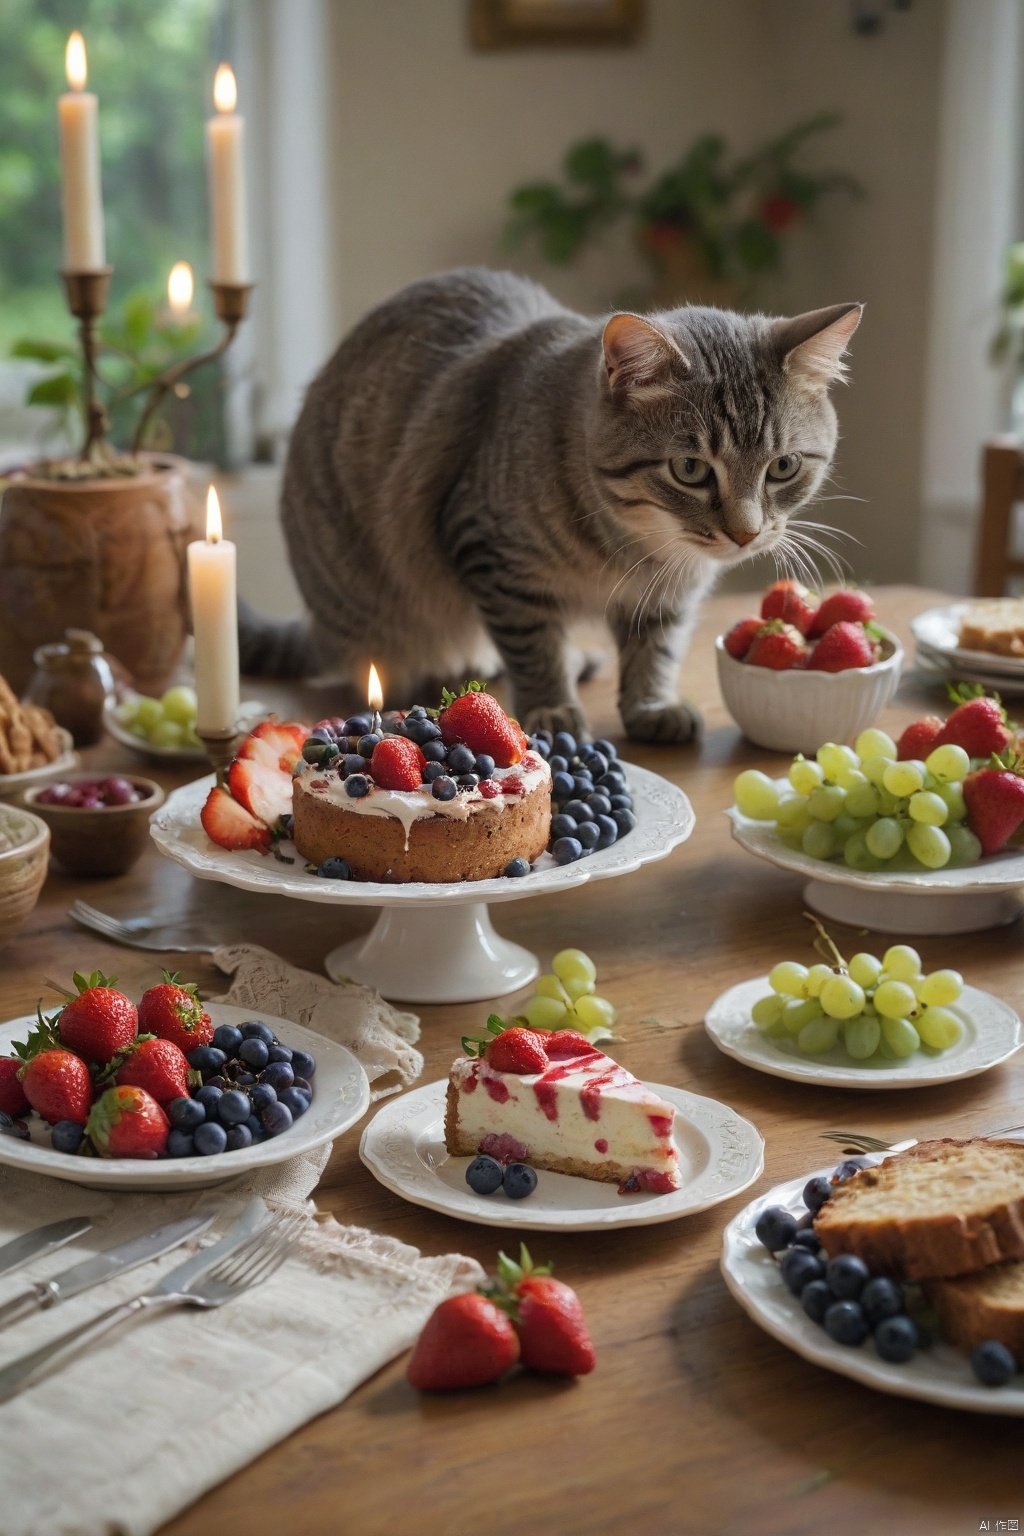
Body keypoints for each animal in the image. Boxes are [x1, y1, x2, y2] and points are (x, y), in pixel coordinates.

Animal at [244, 267, 859, 740]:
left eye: (783, 466)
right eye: (690, 469)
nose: (745, 534)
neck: (633, 546)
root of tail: (319, 630)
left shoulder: (670, 592)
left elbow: (656, 647)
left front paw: (651, 706)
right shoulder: (493, 557)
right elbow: (532, 645)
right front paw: (550, 706)